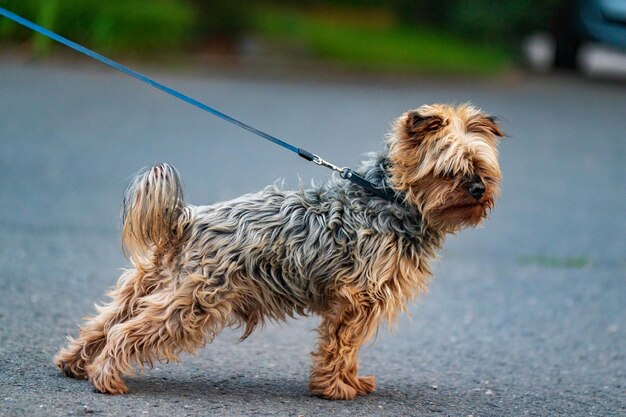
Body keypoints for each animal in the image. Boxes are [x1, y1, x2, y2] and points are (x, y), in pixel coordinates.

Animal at [53, 102, 502, 398]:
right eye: (450, 170)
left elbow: (346, 347)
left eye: (480, 166)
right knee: (126, 331)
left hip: (152, 283)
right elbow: (342, 346)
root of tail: (188, 219)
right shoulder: (358, 300)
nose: (478, 190)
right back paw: (106, 377)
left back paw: (75, 363)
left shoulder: (355, 303)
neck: (390, 198)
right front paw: (336, 388)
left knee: (106, 321)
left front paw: (347, 382)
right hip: (196, 302)